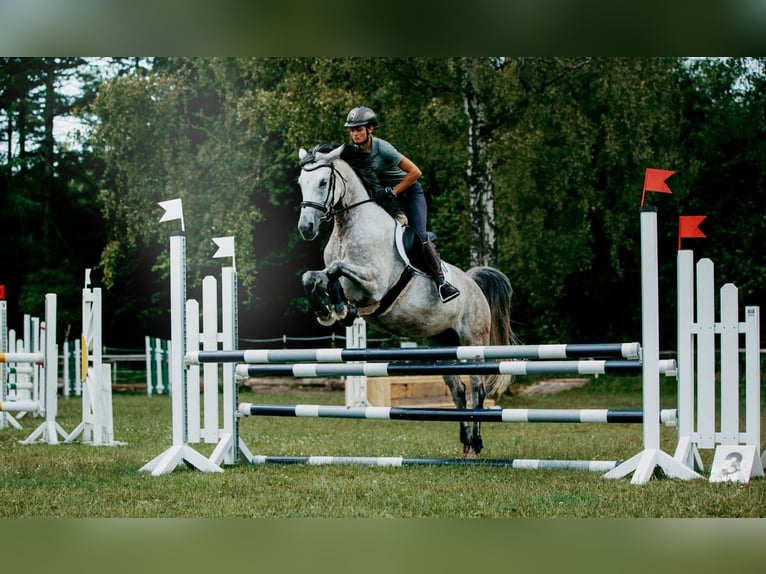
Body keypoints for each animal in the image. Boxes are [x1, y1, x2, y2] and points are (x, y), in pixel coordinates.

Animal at [296, 144, 520, 460]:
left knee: (477, 388)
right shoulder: (347, 282)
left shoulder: (375, 284)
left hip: (472, 341)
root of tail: (473, 283)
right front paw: (331, 310)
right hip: (441, 344)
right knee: (458, 390)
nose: (306, 227)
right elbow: (315, 277)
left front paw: (339, 308)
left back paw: (475, 444)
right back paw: (465, 442)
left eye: (323, 182)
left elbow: (336, 270)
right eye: (301, 183)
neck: (348, 228)